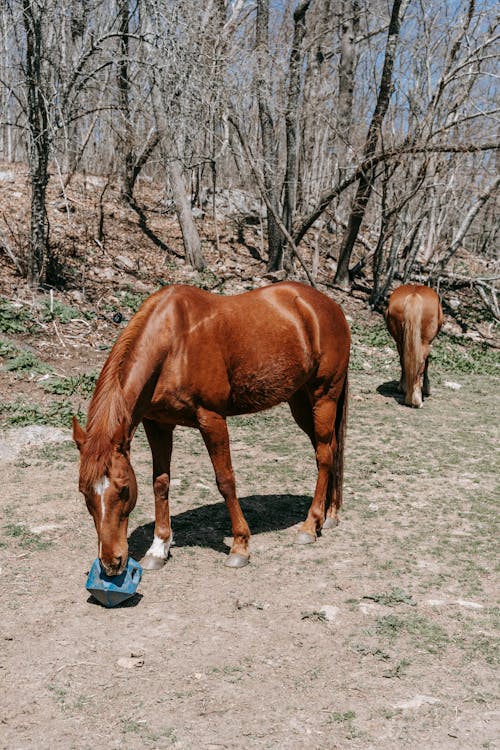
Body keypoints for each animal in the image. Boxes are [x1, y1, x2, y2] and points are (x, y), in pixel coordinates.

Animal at [72, 282, 350, 576]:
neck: (173, 344)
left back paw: (310, 525)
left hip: (324, 396)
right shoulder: (157, 424)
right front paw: (158, 548)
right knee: (328, 451)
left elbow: (225, 480)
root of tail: (327, 305)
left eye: (123, 488)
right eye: (84, 492)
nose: (111, 563)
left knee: (324, 455)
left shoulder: (212, 419)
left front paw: (240, 546)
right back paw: (329, 516)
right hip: (300, 401)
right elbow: (160, 482)